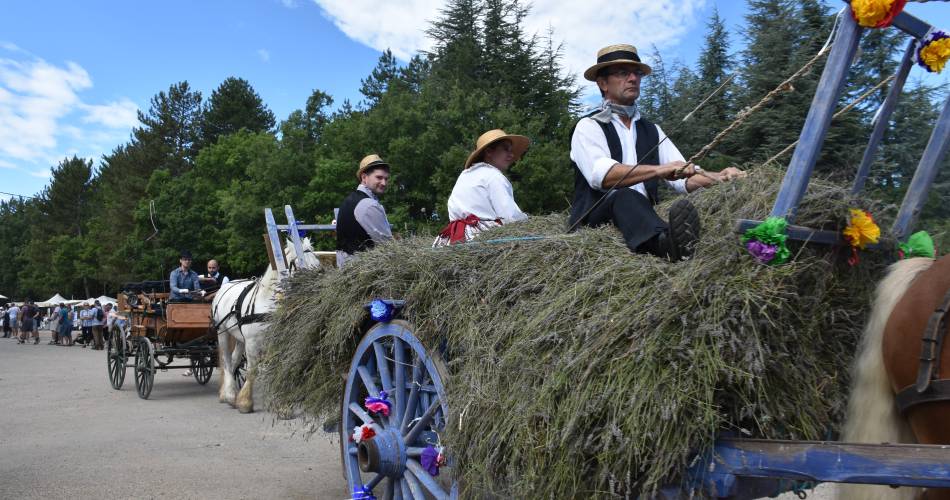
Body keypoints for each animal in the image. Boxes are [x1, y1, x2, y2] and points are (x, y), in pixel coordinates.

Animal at [215, 236, 320, 412]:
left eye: (317, 262)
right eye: (300, 265)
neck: (267, 303)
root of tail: (226, 285)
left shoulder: (279, 341)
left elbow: (281, 369)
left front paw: (283, 406)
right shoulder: (252, 342)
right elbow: (252, 370)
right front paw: (245, 403)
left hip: (239, 338)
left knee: (235, 360)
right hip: (222, 333)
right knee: (227, 361)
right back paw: (229, 395)